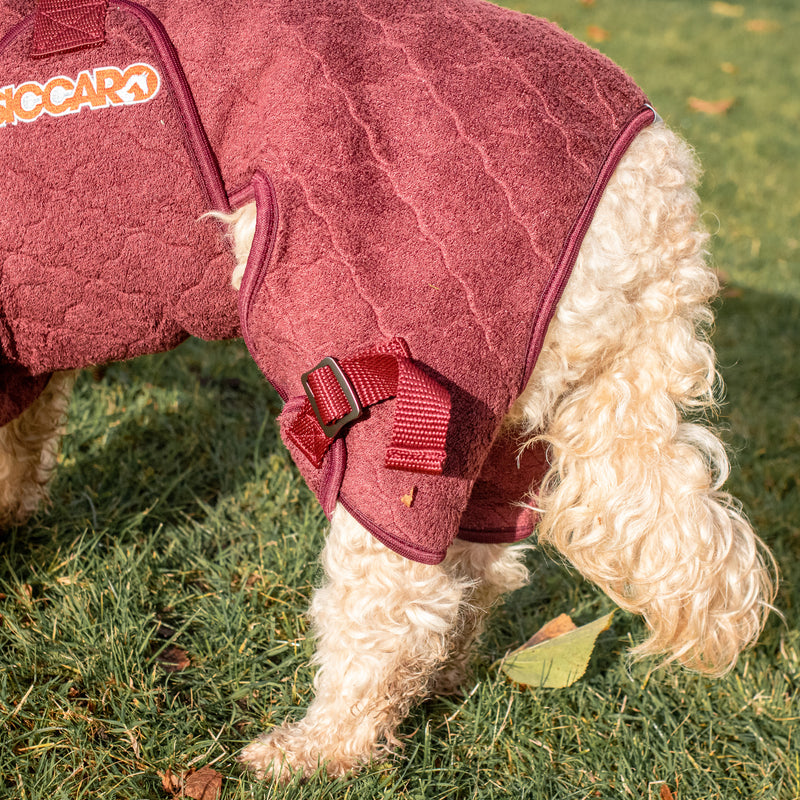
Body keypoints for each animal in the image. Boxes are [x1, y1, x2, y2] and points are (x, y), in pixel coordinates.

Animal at [0, 0, 776, 780]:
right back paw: (440, 679)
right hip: (501, 414)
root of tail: (652, 171)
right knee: (482, 565)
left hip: (378, 390)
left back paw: (319, 746)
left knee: (395, 599)